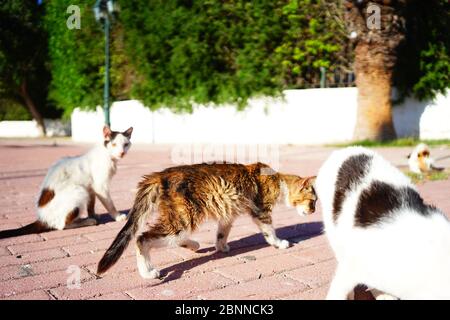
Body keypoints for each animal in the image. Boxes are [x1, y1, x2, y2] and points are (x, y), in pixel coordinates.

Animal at [0, 126, 134, 239]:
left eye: (126, 144)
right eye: (114, 144)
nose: (122, 153)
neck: (107, 155)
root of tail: (42, 218)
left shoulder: (91, 188)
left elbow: (91, 205)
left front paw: (93, 214)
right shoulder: (100, 186)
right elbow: (110, 204)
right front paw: (117, 216)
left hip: (83, 190)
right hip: (78, 190)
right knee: (62, 225)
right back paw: (87, 221)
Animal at [98, 162, 316, 278]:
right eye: (313, 201)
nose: (314, 211)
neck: (278, 181)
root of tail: (160, 175)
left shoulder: (228, 214)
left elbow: (222, 233)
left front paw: (221, 247)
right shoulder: (261, 212)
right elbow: (270, 231)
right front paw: (280, 243)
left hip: (180, 219)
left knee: (174, 239)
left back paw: (193, 245)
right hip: (184, 218)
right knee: (142, 238)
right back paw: (148, 272)